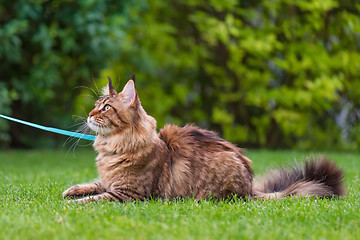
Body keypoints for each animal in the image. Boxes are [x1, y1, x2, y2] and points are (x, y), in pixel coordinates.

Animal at [62, 76, 346, 202]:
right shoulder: (110, 182)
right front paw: (72, 190)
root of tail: (251, 187)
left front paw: (73, 204)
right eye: (96, 105)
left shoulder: (127, 195)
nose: (89, 114)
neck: (114, 146)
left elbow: (94, 199)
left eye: (106, 108)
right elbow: (94, 184)